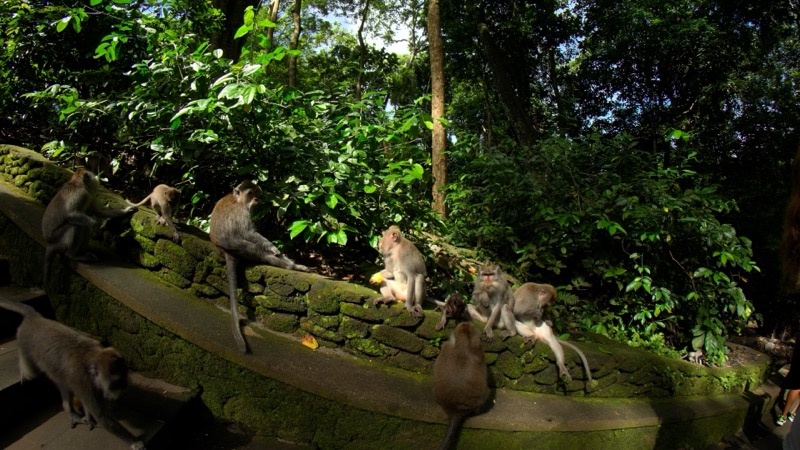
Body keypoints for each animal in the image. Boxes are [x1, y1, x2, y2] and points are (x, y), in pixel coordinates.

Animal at [0, 298, 146, 450]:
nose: (124, 387)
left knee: (62, 383)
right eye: (116, 383)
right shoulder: (82, 380)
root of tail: (34, 318)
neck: (91, 360)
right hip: (23, 339)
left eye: (125, 378)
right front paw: (134, 441)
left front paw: (89, 417)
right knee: (32, 373)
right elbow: (102, 416)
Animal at [209, 180, 311, 353]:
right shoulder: (242, 213)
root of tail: (223, 250)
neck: (237, 200)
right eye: (250, 193)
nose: (257, 199)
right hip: (243, 248)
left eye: (257, 193)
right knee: (257, 249)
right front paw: (273, 248)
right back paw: (291, 266)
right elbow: (249, 233)